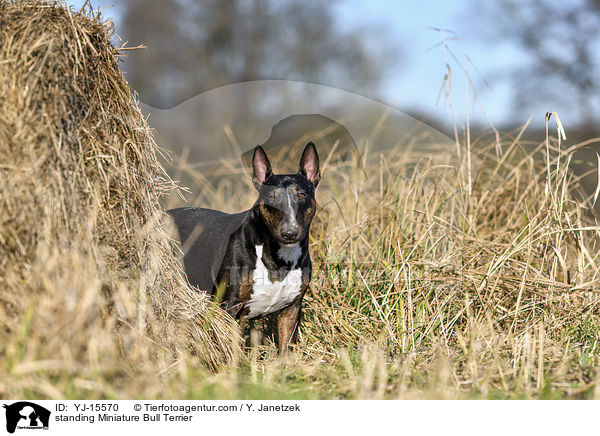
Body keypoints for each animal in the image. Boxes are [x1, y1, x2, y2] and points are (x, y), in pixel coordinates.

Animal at [166, 143, 322, 350]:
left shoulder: (291, 310)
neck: (278, 259)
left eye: (302, 195)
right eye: (271, 198)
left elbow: (286, 349)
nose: (290, 233)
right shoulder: (228, 306)